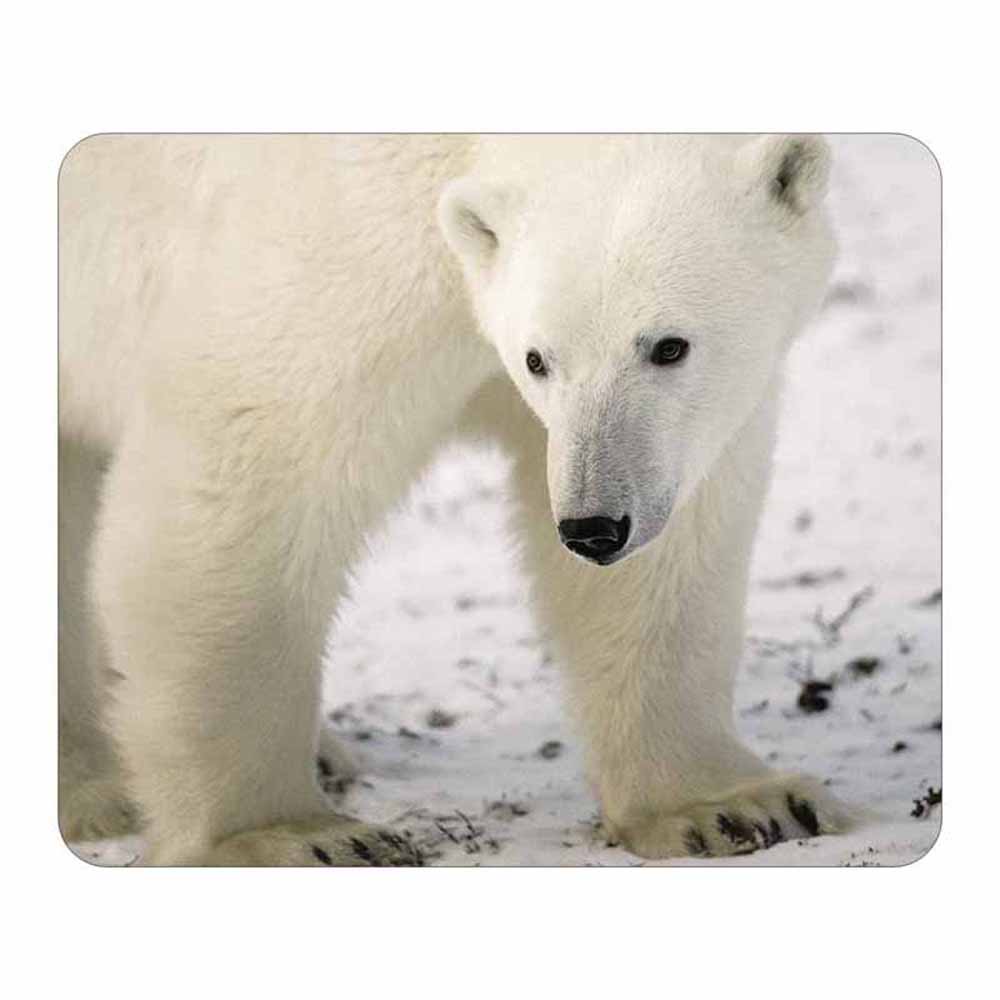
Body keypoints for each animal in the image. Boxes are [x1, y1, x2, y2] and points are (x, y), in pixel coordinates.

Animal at [58, 134, 851, 865]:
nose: (594, 527)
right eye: (539, 358)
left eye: (669, 346)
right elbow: (249, 469)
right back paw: (96, 789)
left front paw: (732, 806)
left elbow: (673, 538)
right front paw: (285, 836)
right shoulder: (340, 250)